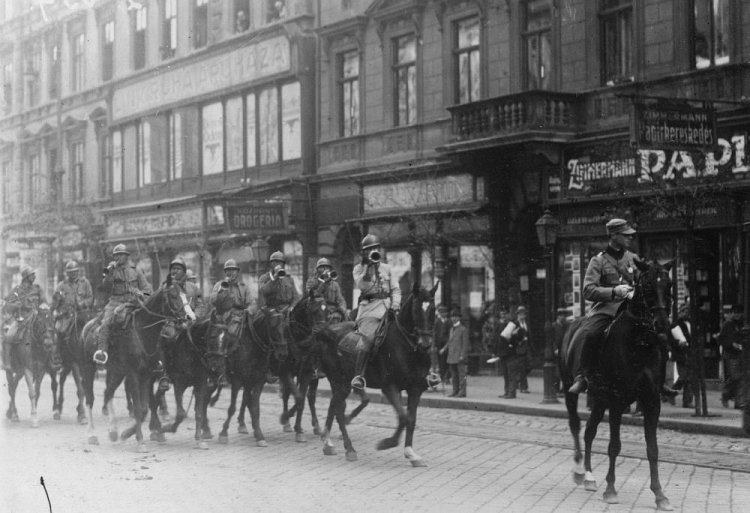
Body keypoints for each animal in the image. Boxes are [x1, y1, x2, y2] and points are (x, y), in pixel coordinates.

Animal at [81, 282, 188, 450]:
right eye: (173, 296)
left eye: (185, 294)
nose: (186, 318)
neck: (143, 332)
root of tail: (88, 326)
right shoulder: (133, 375)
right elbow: (139, 408)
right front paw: (140, 441)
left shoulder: (147, 375)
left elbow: (144, 408)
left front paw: (128, 434)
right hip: (88, 369)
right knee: (90, 399)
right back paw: (92, 435)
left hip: (117, 372)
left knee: (108, 392)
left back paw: (113, 431)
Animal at [157, 314, 228, 446]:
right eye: (212, 336)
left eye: (227, 338)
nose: (217, 365)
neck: (191, 353)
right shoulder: (179, 385)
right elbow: (181, 414)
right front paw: (166, 428)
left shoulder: (200, 385)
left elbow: (199, 412)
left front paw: (199, 440)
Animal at [222, 308, 286, 444]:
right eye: (272, 326)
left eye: (285, 326)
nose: (283, 353)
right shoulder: (237, 380)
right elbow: (232, 407)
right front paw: (223, 432)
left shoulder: (258, 381)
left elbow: (255, 408)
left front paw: (259, 434)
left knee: (247, 399)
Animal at [316, 282, 434, 466]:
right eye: (416, 310)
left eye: (433, 309)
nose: (426, 344)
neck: (407, 347)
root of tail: (328, 330)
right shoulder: (390, 387)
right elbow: (403, 417)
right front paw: (387, 443)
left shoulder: (415, 389)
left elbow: (411, 419)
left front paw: (410, 452)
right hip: (339, 381)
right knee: (338, 411)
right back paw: (349, 448)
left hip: (342, 383)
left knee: (334, 407)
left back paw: (328, 443)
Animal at [564, 260, 676, 508]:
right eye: (647, 284)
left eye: (669, 284)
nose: (662, 323)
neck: (639, 343)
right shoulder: (617, 400)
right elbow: (614, 446)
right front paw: (611, 490)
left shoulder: (651, 401)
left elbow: (652, 449)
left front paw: (660, 494)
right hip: (572, 391)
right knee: (576, 425)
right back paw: (579, 471)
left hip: (598, 398)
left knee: (589, 431)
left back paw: (589, 477)